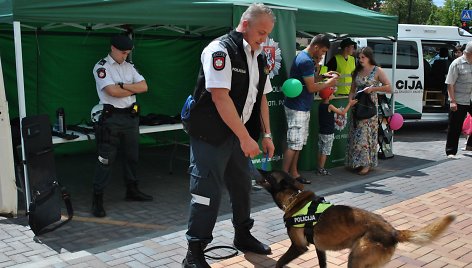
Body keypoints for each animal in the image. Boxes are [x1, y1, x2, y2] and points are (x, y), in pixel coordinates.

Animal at [258, 170, 454, 268]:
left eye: (270, 175)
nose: (259, 168)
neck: (292, 198)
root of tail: (392, 231)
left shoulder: (298, 247)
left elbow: (279, 263)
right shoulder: (320, 248)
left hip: (356, 259)